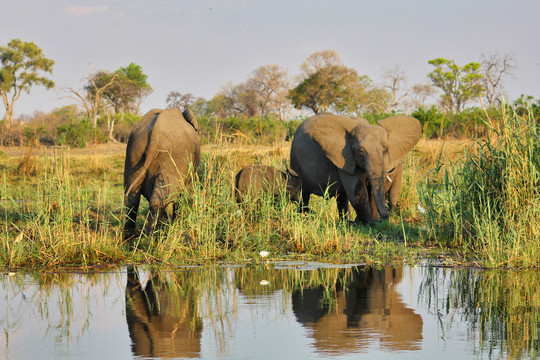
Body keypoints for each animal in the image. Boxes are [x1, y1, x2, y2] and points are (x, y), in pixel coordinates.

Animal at [123, 106, 201, 239]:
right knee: (159, 199)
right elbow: (185, 194)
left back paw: (129, 239)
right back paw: (152, 239)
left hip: (133, 153)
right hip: (172, 158)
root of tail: (154, 137)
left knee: (131, 198)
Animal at [292, 112, 422, 222]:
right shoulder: (345, 157)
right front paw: (368, 223)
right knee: (303, 194)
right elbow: (356, 189)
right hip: (295, 160)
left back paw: (345, 222)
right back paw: (304, 219)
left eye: (386, 149)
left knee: (342, 198)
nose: (385, 218)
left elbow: (371, 191)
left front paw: (371, 221)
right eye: (361, 151)